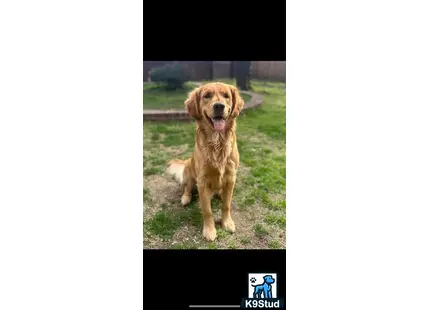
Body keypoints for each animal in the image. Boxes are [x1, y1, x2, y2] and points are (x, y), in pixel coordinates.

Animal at [165, 83, 244, 242]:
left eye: (226, 96)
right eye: (207, 95)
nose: (219, 106)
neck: (217, 142)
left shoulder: (231, 177)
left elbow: (226, 205)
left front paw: (227, 222)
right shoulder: (202, 181)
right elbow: (207, 211)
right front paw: (209, 230)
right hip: (189, 171)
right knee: (187, 188)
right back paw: (185, 198)